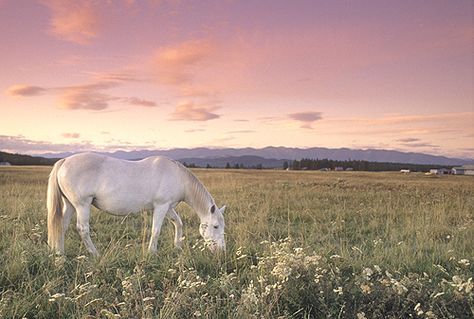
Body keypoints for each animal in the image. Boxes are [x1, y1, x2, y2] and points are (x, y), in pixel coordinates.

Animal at [47, 153, 225, 258]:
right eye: (216, 226)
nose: (221, 251)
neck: (179, 177)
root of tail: (64, 161)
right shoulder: (161, 206)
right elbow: (156, 230)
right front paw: (152, 253)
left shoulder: (168, 207)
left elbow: (178, 223)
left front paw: (178, 247)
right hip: (82, 205)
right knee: (82, 229)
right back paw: (96, 254)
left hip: (70, 205)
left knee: (61, 226)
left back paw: (60, 255)